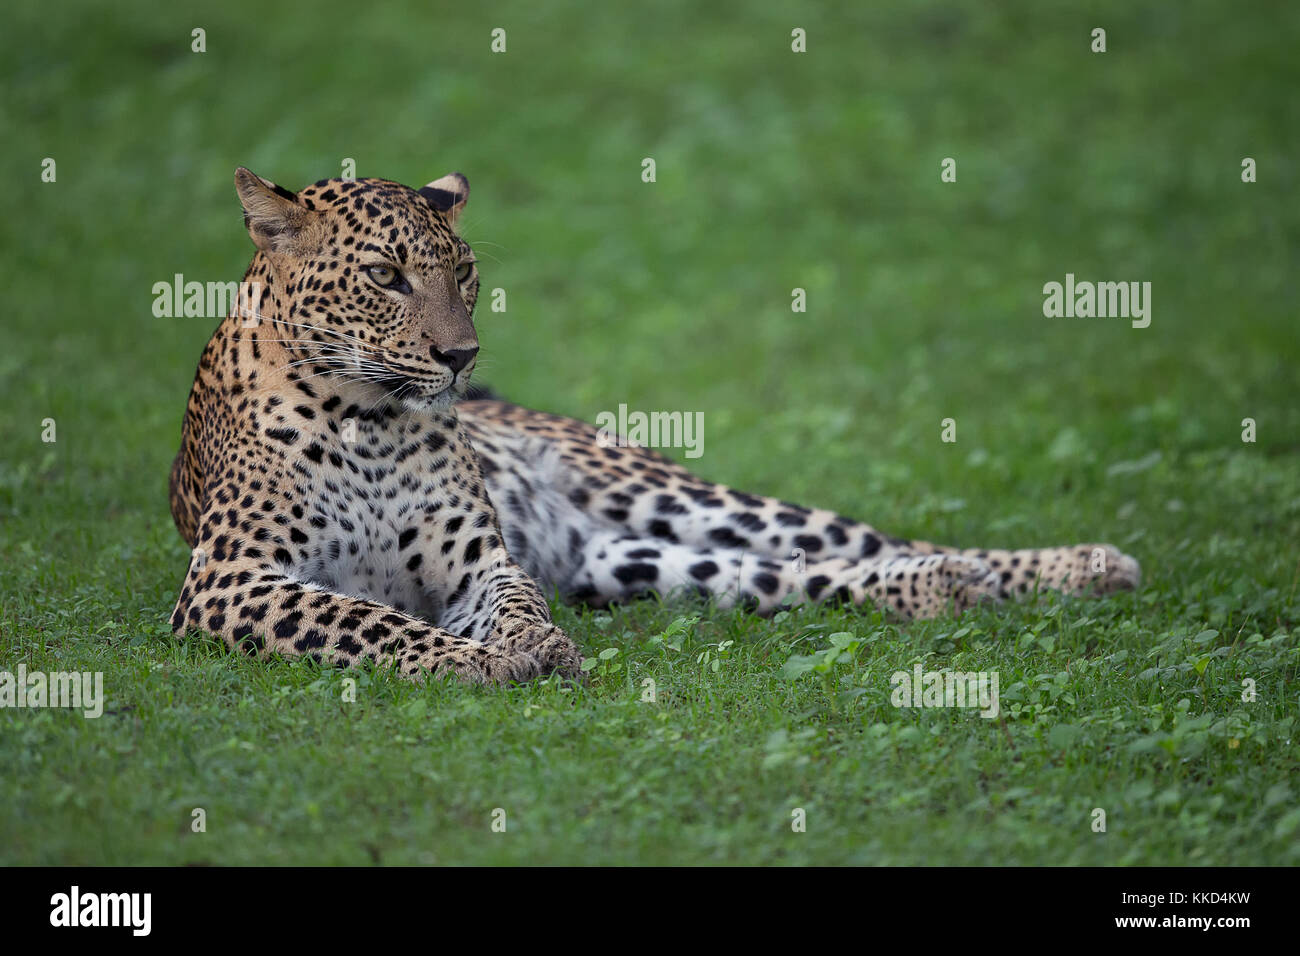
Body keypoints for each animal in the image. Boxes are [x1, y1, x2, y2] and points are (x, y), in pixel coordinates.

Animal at [167, 167, 1144, 686]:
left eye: (464, 270)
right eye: (385, 276)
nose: (461, 355)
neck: (366, 418)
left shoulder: (482, 564)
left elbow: (511, 604)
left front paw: (534, 647)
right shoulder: (228, 580)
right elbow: (365, 620)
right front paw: (476, 661)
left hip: (674, 496)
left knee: (872, 541)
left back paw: (1072, 566)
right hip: (629, 561)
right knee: (808, 575)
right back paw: (950, 587)